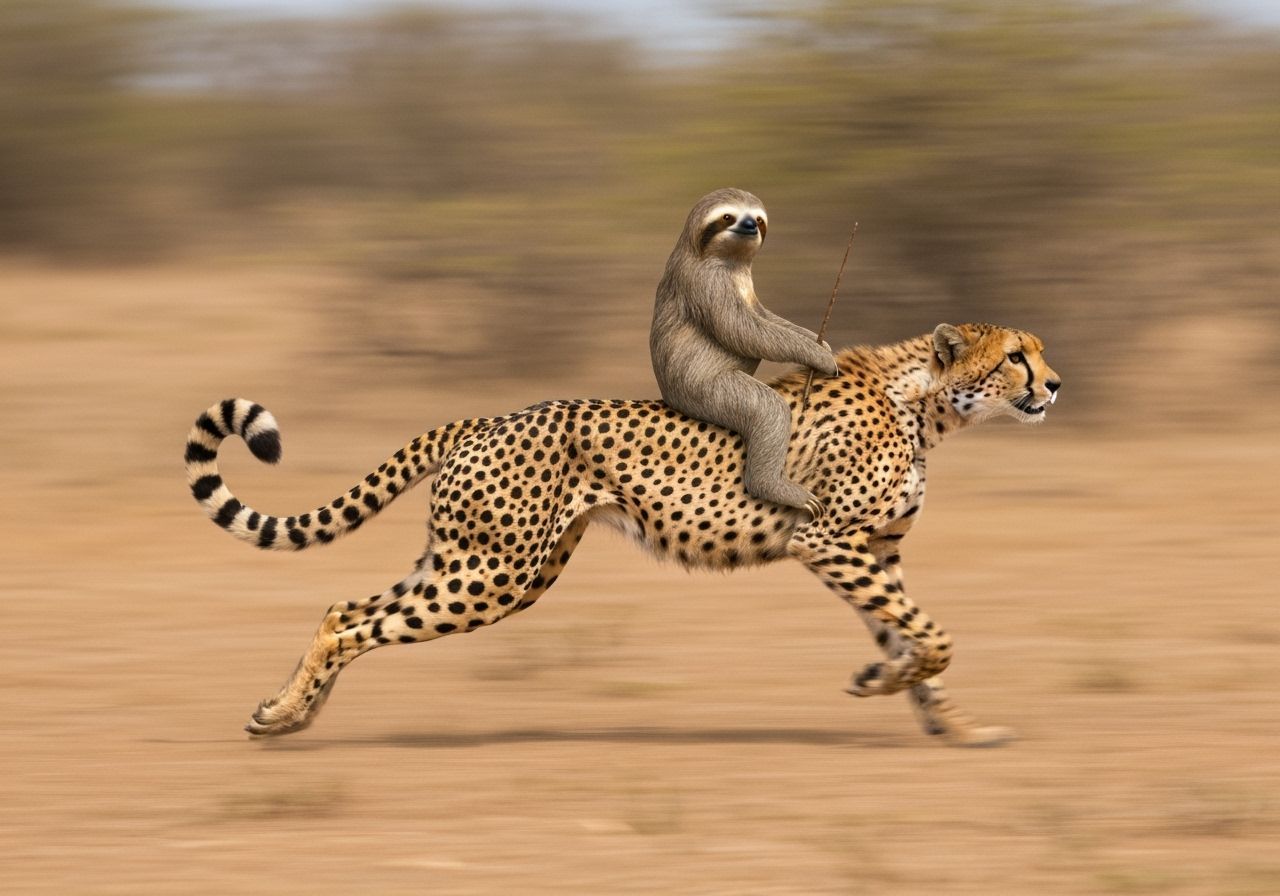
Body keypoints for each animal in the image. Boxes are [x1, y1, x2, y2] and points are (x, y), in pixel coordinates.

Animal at [185, 322, 1060, 746]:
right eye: (1016, 357)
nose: (1054, 384)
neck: (927, 401)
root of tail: (490, 417)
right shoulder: (832, 543)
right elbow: (934, 635)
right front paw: (890, 686)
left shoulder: (873, 551)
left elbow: (911, 638)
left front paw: (950, 723)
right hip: (491, 576)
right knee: (353, 625)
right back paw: (286, 718)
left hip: (478, 563)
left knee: (343, 609)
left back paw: (284, 713)